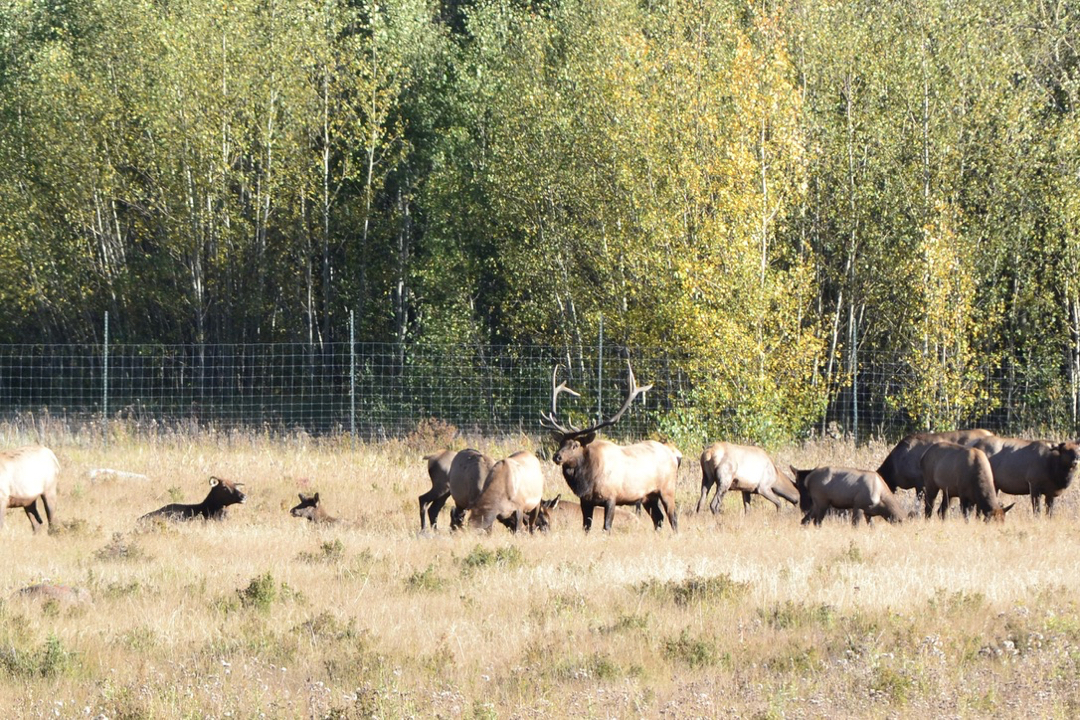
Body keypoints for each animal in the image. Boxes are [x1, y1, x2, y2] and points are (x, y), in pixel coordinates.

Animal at [537, 362, 678, 533]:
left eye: (575, 445)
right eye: (561, 443)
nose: (557, 456)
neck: (587, 481)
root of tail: (673, 455)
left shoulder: (612, 497)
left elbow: (606, 526)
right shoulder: (586, 500)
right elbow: (586, 527)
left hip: (667, 489)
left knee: (672, 517)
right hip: (648, 497)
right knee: (658, 517)